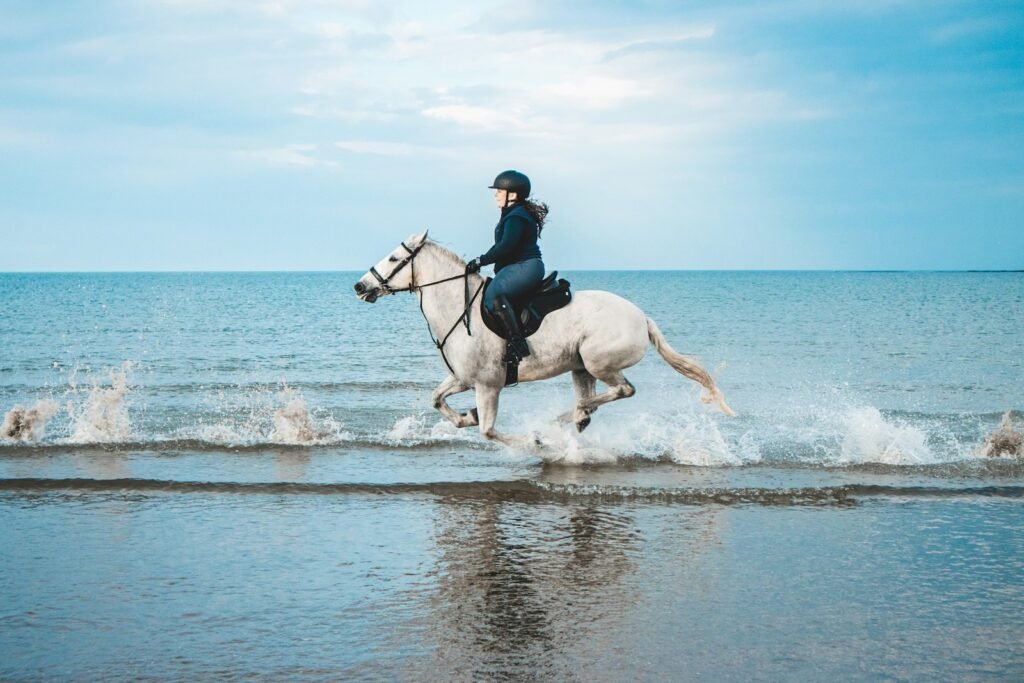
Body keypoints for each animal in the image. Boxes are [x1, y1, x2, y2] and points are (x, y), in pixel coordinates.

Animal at [354, 231, 735, 450]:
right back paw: (575, 417)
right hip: (581, 368)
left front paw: (532, 440)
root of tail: (642, 318)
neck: (460, 310)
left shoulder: (488, 385)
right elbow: (437, 400)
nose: (360, 286)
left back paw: (563, 420)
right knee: (595, 399)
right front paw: (466, 417)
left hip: (598, 361)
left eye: (394, 258)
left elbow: (489, 432)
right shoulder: (462, 378)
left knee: (622, 390)